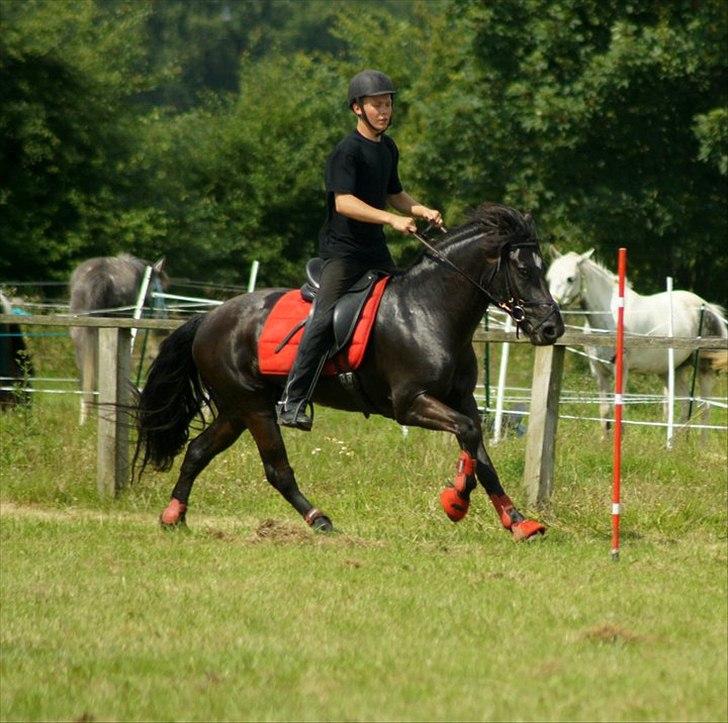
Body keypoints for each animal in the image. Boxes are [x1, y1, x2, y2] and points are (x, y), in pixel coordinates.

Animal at [70, 255, 168, 424]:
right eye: (158, 289)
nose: (163, 317)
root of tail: (100, 275)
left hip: (81, 335)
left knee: (86, 374)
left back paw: (85, 419)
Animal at [136, 204, 564, 544]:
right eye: (523, 269)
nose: (551, 329)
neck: (429, 310)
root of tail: (208, 318)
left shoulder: (462, 400)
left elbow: (482, 456)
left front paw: (518, 523)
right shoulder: (411, 404)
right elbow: (469, 436)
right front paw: (456, 500)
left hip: (235, 409)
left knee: (197, 451)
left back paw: (173, 515)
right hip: (254, 407)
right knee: (277, 469)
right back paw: (319, 519)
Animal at [544, 249, 728, 432]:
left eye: (570, 278)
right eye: (549, 278)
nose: (553, 310)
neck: (608, 317)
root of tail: (709, 308)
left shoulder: (621, 370)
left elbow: (619, 410)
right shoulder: (599, 372)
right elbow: (605, 412)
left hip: (704, 369)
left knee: (705, 408)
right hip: (672, 371)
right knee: (685, 405)